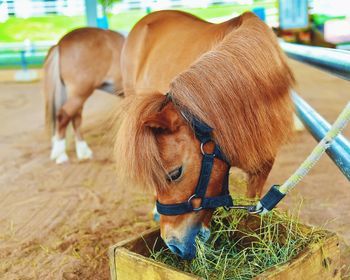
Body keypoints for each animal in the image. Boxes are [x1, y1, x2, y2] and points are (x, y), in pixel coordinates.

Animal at [44, 27, 124, 163]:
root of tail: (60, 44)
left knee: (75, 118)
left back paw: (83, 152)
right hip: (79, 94)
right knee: (64, 116)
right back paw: (60, 155)